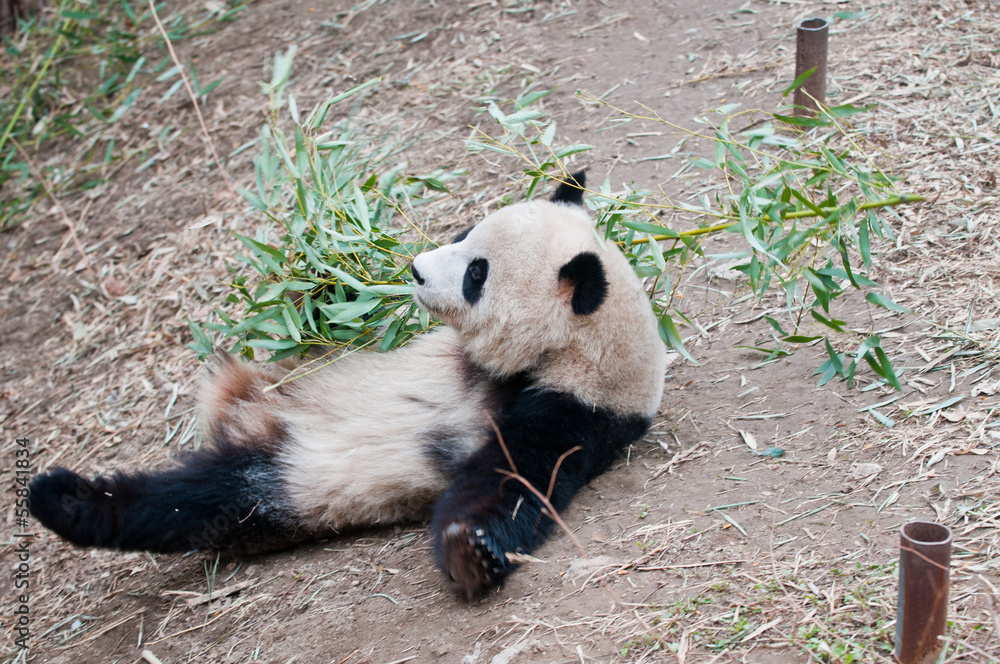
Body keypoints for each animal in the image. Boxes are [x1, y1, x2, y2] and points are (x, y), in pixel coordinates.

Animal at [28, 173, 668, 600]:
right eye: (464, 232)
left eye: (476, 274)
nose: (414, 269)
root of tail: (244, 416)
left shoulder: (574, 412)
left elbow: (510, 481)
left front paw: (471, 552)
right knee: (178, 497)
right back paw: (58, 496)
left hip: (278, 483)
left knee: (189, 502)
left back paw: (63, 499)